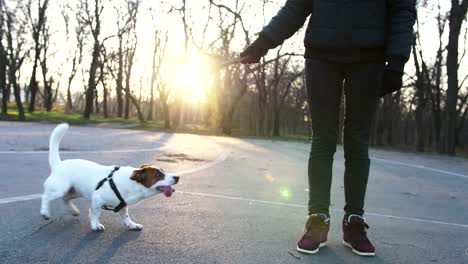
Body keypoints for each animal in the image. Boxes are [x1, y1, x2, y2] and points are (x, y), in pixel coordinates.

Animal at [40, 124, 179, 231]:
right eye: (158, 175)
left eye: (163, 171)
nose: (177, 177)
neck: (133, 185)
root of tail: (59, 164)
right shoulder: (97, 199)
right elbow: (95, 213)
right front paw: (95, 225)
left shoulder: (122, 204)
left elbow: (126, 215)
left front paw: (131, 224)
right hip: (59, 189)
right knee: (46, 196)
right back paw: (45, 212)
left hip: (75, 191)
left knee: (65, 198)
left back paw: (73, 210)